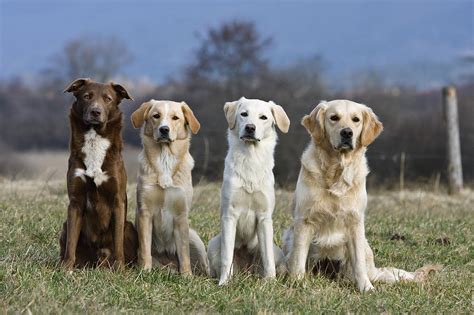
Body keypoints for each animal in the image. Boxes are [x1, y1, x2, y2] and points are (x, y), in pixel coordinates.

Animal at [58, 78, 137, 270]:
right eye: (87, 96)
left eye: (108, 99)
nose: (95, 111)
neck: (94, 139)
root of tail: (99, 261)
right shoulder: (75, 201)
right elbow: (71, 241)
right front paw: (66, 268)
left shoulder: (118, 200)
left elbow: (118, 242)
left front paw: (119, 269)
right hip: (64, 226)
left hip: (130, 227)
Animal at [206, 97, 288, 286]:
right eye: (244, 114)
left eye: (263, 117)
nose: (250, 127)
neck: (251, 159)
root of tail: (246, 271)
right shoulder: (229, 215)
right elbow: (227, 257)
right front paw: (224, 283)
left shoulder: (264, 217)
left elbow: (268, 259)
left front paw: (270, 283)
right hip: (213, 244)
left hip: (276, 250)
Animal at [282, 100, 440, 292]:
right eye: (334, 118)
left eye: (356, 119)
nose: (347, 132)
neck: (336, 170)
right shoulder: (304, 220)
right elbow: (298, 257)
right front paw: (297, 283)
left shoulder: (355, 222)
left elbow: (358, 263)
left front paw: (366, 288)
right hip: (288, 236)